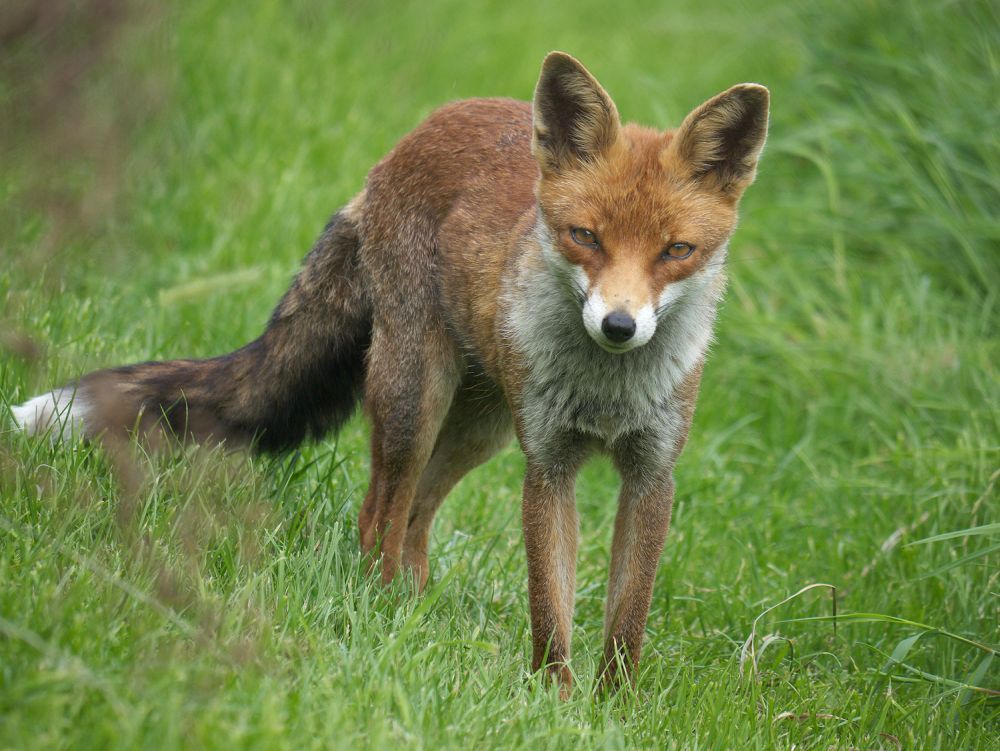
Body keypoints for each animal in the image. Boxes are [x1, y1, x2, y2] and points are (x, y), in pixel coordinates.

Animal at [13, 53, 764, 696]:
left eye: (676, 251)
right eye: (586, 237)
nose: (618, 326)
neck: (607, 392)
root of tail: (405, 143)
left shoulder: (651, 471)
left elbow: (626, 620)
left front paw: (612, 708)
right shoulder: (548, 466)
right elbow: (551, 611)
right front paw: (554, 701)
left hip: (480, 428)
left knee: (416, 522)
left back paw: (416, 612)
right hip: (415, 399)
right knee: (378, 515)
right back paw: (381, 616)